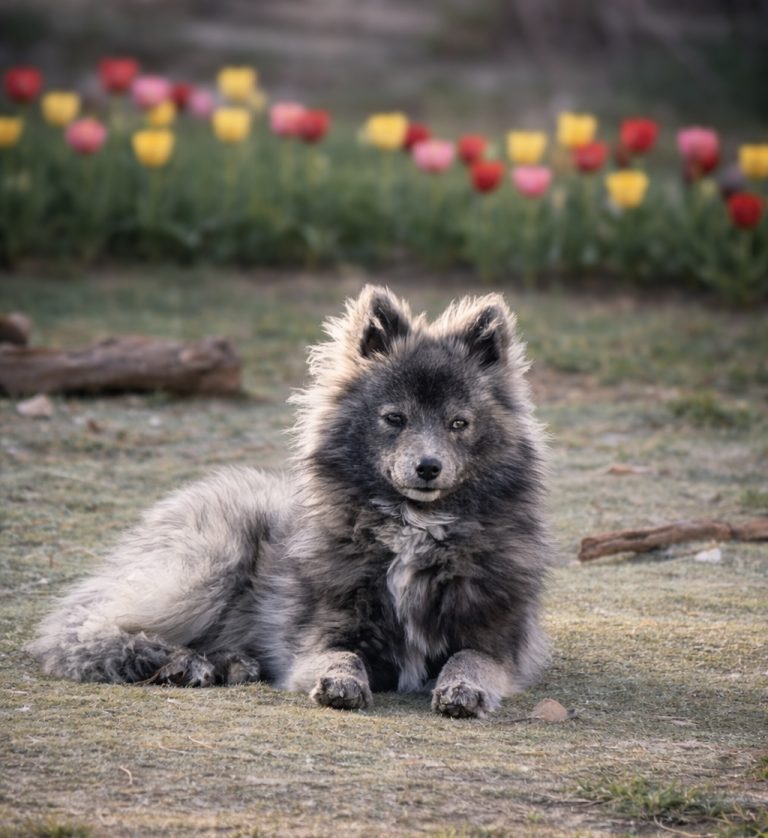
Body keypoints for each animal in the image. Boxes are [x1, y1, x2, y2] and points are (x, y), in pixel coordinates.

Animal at [28, 286, 551, 718]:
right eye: (395, 418)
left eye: (458, 423)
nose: (427, 467)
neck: (414, 531)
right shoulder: (319, 636)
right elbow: (341, 655)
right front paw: (339, 682)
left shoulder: (497, 642)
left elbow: (469, 658)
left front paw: (463, 690)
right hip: (210, 566)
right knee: (83, 630)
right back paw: (178, 661)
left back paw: (226, 663)